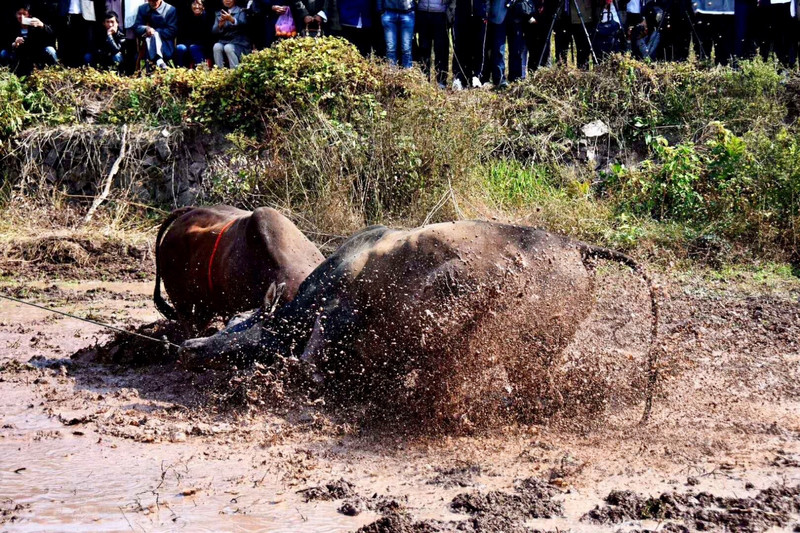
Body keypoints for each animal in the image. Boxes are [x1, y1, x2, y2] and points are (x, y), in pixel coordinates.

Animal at [181, 219, 656, 424]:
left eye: (246, 332)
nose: (189, 348)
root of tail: (577, 246)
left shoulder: (339, 308)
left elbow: (313, 351)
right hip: (541, 349)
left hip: (531, 349)